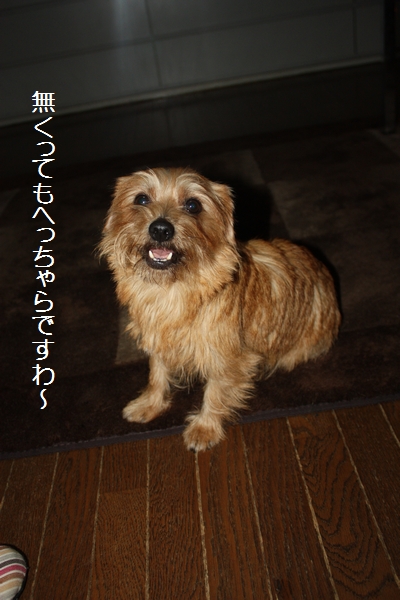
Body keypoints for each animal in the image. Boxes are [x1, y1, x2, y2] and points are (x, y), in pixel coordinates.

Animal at [99, 167, 341, 451]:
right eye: (141, 199)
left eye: (193, 205)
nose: (160, 229)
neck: (172, 290)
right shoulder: (157, 338)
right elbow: (156, 374)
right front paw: (149, 405)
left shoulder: (228, 357)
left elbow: (215, 392)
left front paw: (204, 429)